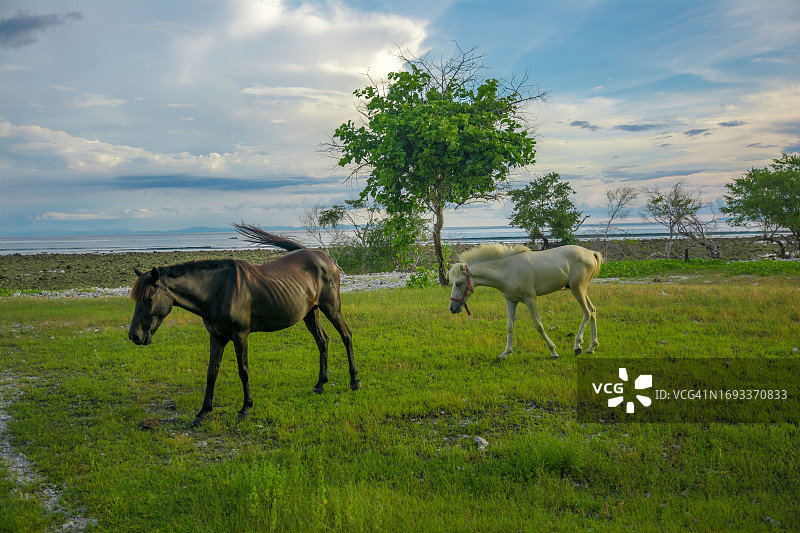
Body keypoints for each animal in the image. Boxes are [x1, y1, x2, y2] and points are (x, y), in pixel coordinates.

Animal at [130, 227, 360, 426]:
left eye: (148, 300)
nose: (134, 336)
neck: (217, 292)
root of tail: (325, 257)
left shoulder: (240, 335)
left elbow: (243, 370)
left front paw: (245, 408)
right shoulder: (217, 337)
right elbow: (211, 373)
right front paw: (203, 412)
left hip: (332, 308)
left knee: (346, 336)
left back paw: (354, 381)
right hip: (310, 314)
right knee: (323, 341)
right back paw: (320, 384)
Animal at [450, 244, 600, 360]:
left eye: (458, 283)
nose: (452, 308)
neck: (507, 269)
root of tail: (591, 253)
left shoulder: (530, 299)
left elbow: (539, 326)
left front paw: (553, 351)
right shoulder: (511, 301)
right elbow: (510, 326)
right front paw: (505, 353)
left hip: (577, 289)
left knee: (587, 312)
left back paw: (578, 345)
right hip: (581, 290)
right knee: (593, 310)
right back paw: (591, 347)